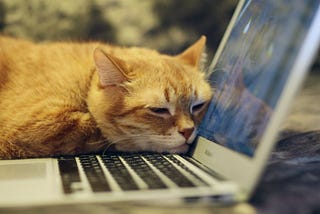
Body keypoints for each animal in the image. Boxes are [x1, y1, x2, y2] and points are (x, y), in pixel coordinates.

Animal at [0, 35, 215, 159]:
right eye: (159, 110)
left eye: (198, 106)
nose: (188, 131)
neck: (87, 76)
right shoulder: (37, 124)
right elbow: (98, 130)